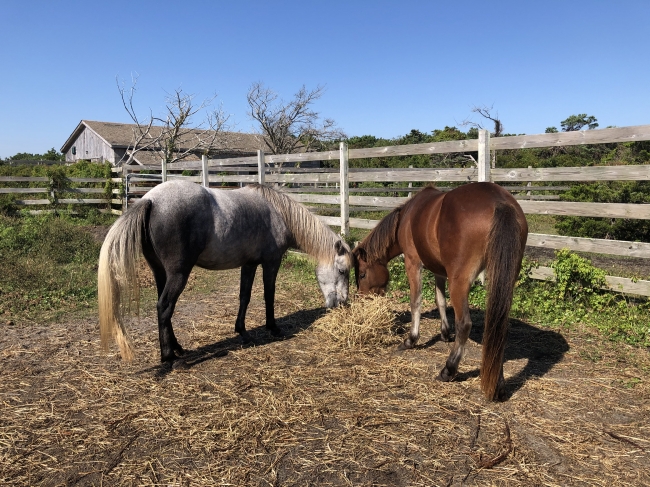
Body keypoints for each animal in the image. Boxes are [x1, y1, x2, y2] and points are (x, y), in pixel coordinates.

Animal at [97, 181, 350, 364]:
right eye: (342, 270)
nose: (343, 303)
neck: (279, 213)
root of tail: (150, 199)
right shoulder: (271, 263)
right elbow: (269, 296)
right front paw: (273, 328)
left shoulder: (249, 264)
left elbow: (244, 297)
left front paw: (243, 332)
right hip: (178, 274)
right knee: (164, 307)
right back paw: (169, 358)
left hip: (161, 272)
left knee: (164, 310)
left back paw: (178, 349)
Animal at [354, 183, 528, 400]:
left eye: (362, 274)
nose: (362, 301)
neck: (406, 217)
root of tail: (499, 201)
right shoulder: (439, 270)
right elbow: (440, 300)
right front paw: (445, 333)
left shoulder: (413, 263)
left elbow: (416, 301)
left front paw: (411, 339)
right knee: (498, 325)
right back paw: (497, 383)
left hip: (459, 281)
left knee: (464, 324)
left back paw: (449, 370)